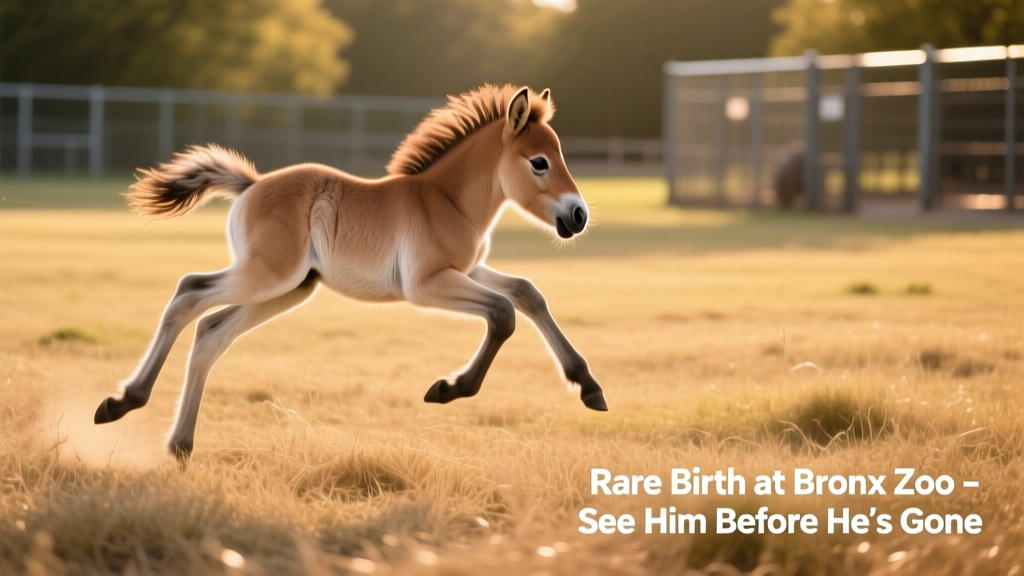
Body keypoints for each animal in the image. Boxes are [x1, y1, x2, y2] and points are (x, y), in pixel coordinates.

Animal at [93, 84, 608, 459]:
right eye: (538, 162)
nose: (579, 215)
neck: (448, 201)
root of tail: (251, 184)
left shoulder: (469, 268)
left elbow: (528, 293)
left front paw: (589, 386)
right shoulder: (426, 284)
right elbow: (503, 312)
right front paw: (448, 389)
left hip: (290, 288)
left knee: (210, 334)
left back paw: (179, 445)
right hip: (268, 276)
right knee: (189, 293)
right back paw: (123, 402)